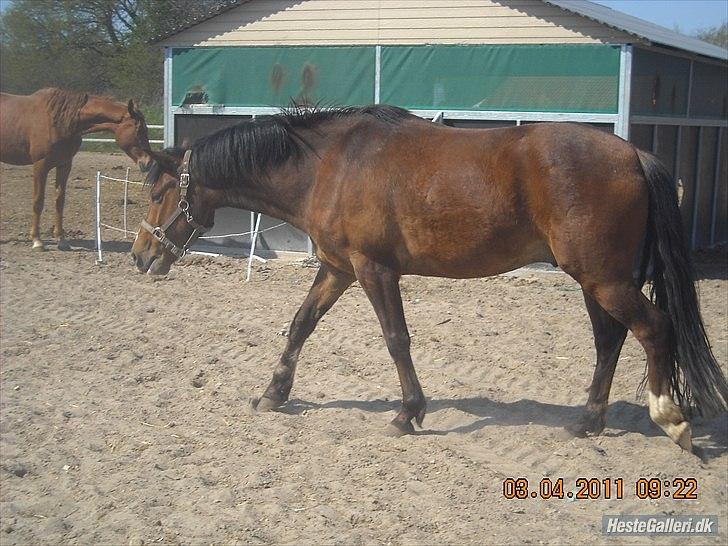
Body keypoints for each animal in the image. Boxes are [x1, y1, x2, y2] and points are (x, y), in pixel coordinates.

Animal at [0, 88, 154, 250]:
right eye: (139, 130)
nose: (148, 162)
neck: (60, 121)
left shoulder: (64, 165)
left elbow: (60, 201)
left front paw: (61, 239)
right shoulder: (40, 166)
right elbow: (38, 201)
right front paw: (37, 240)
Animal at [132, 104, 728, 448]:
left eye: (158, 190)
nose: (140, 255)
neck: (330, 164)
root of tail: (633, 155)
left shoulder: (374, 270)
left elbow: (396, 339)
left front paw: (408, 412)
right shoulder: (337, 269)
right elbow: (301, 325)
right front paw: (273, 394)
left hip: (605, 280)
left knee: (654, 329)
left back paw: (670, 418)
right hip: (594, 280)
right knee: (611, 341)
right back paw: (587, 422)